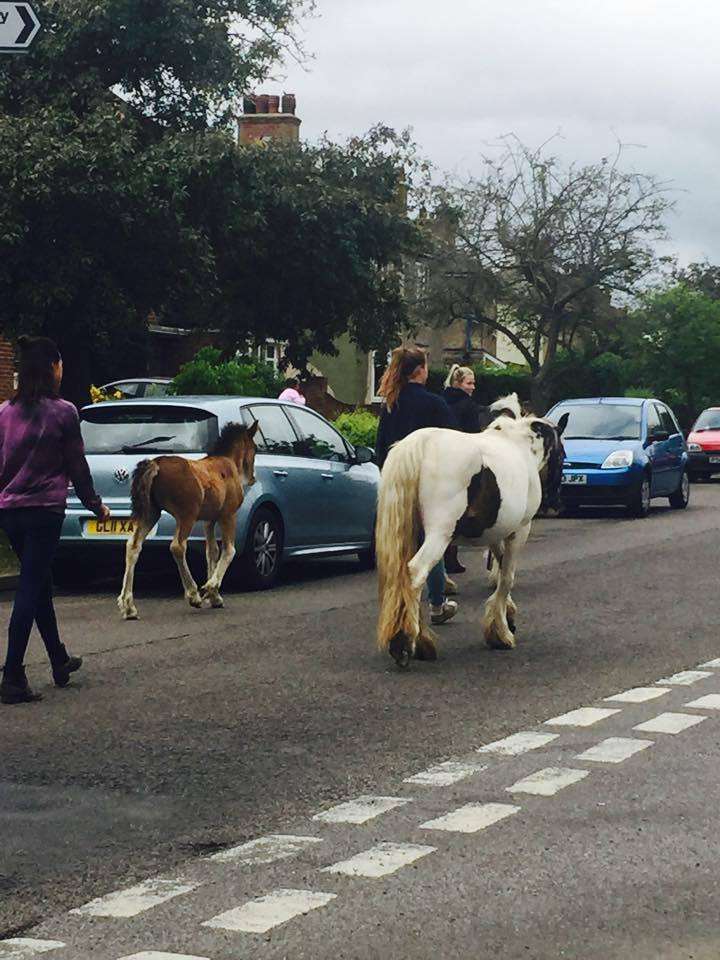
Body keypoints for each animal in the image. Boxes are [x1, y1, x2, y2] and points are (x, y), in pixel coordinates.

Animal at [119, 422, 260, 620]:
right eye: (254, 448)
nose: (253, 478)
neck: (228, 462)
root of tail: (155, 464)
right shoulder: (228, 514)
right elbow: (229, 550)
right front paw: (209, 588)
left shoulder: (209, 520)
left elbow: (212, 551)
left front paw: (215, 597)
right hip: (186, 515)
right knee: (177, 546)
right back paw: (193, 595)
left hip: (151, 513)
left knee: (133, 546)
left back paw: (129, 606)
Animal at [374, 412, 564, 668]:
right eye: (562, 456)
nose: (556, 501)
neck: (519, 446)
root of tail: (419, 444)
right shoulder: (519, 531)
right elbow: (507, 577)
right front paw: (501, 633)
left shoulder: (495, 534)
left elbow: (500, 569)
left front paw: (507, 615)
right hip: (439, 535)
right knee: (415, 574)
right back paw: (409, 641)